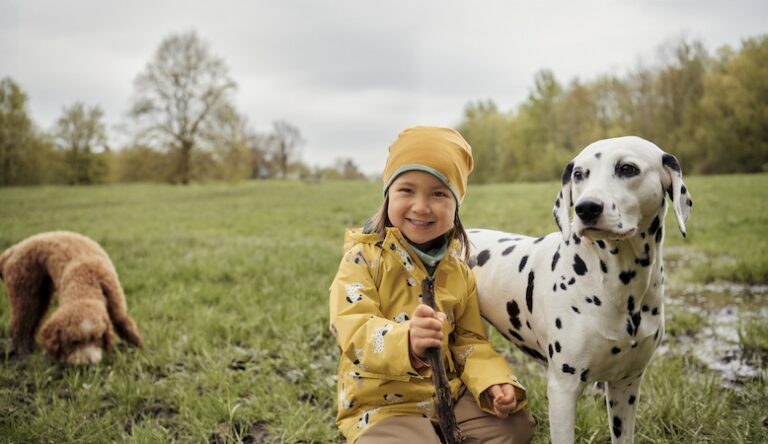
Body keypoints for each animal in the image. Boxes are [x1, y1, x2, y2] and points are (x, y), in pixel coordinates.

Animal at [0, 232, 143, 364]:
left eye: (96, 338)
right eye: (74, 342)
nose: (89, 363)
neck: (86, 281)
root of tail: (12, 251)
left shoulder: (116, 301)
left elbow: (123, 321)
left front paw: (138, 346)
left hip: (39, 294)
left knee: (30, 322)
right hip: (23, 291)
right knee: (20, 325)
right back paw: (23, 353)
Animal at [464, 136, 692, 444]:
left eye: (628, 168)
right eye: (579, 174)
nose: (587, 208)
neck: (622, 287)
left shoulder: (626, 385)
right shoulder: (563, 389)